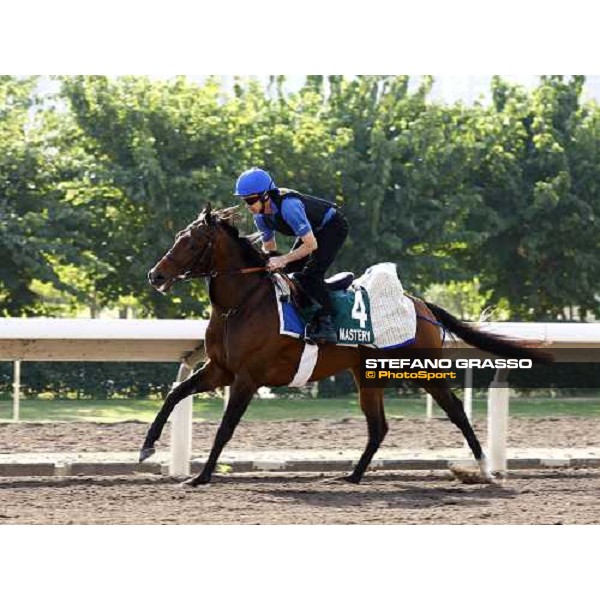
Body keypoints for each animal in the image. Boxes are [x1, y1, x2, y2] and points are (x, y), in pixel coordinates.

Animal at [141, 205, 552, 488]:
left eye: (192, 242)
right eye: (178, 235)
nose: (155, 275)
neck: (242, 303)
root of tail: (419, 304)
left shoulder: (246, 377)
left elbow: (225, 427)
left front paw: (201, 476)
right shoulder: (219, 370)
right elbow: (175, 394)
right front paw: (147, 447)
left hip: (420, 368)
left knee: (455, 411)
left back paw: (484, 468)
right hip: (367, 375)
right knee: (378, 427)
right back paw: (352, 476)